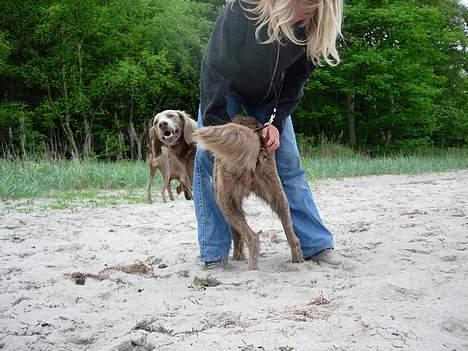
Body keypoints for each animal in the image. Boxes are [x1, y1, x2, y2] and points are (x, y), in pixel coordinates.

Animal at [194, 115, 304, 270]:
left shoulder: (230, 198)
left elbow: (236, 234)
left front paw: (237, 257)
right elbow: (236, 234)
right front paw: (238, 256)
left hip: (224, 201)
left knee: (253, 238)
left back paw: (252, 267)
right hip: (275, 191)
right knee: (292, 234)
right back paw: (298, 259)